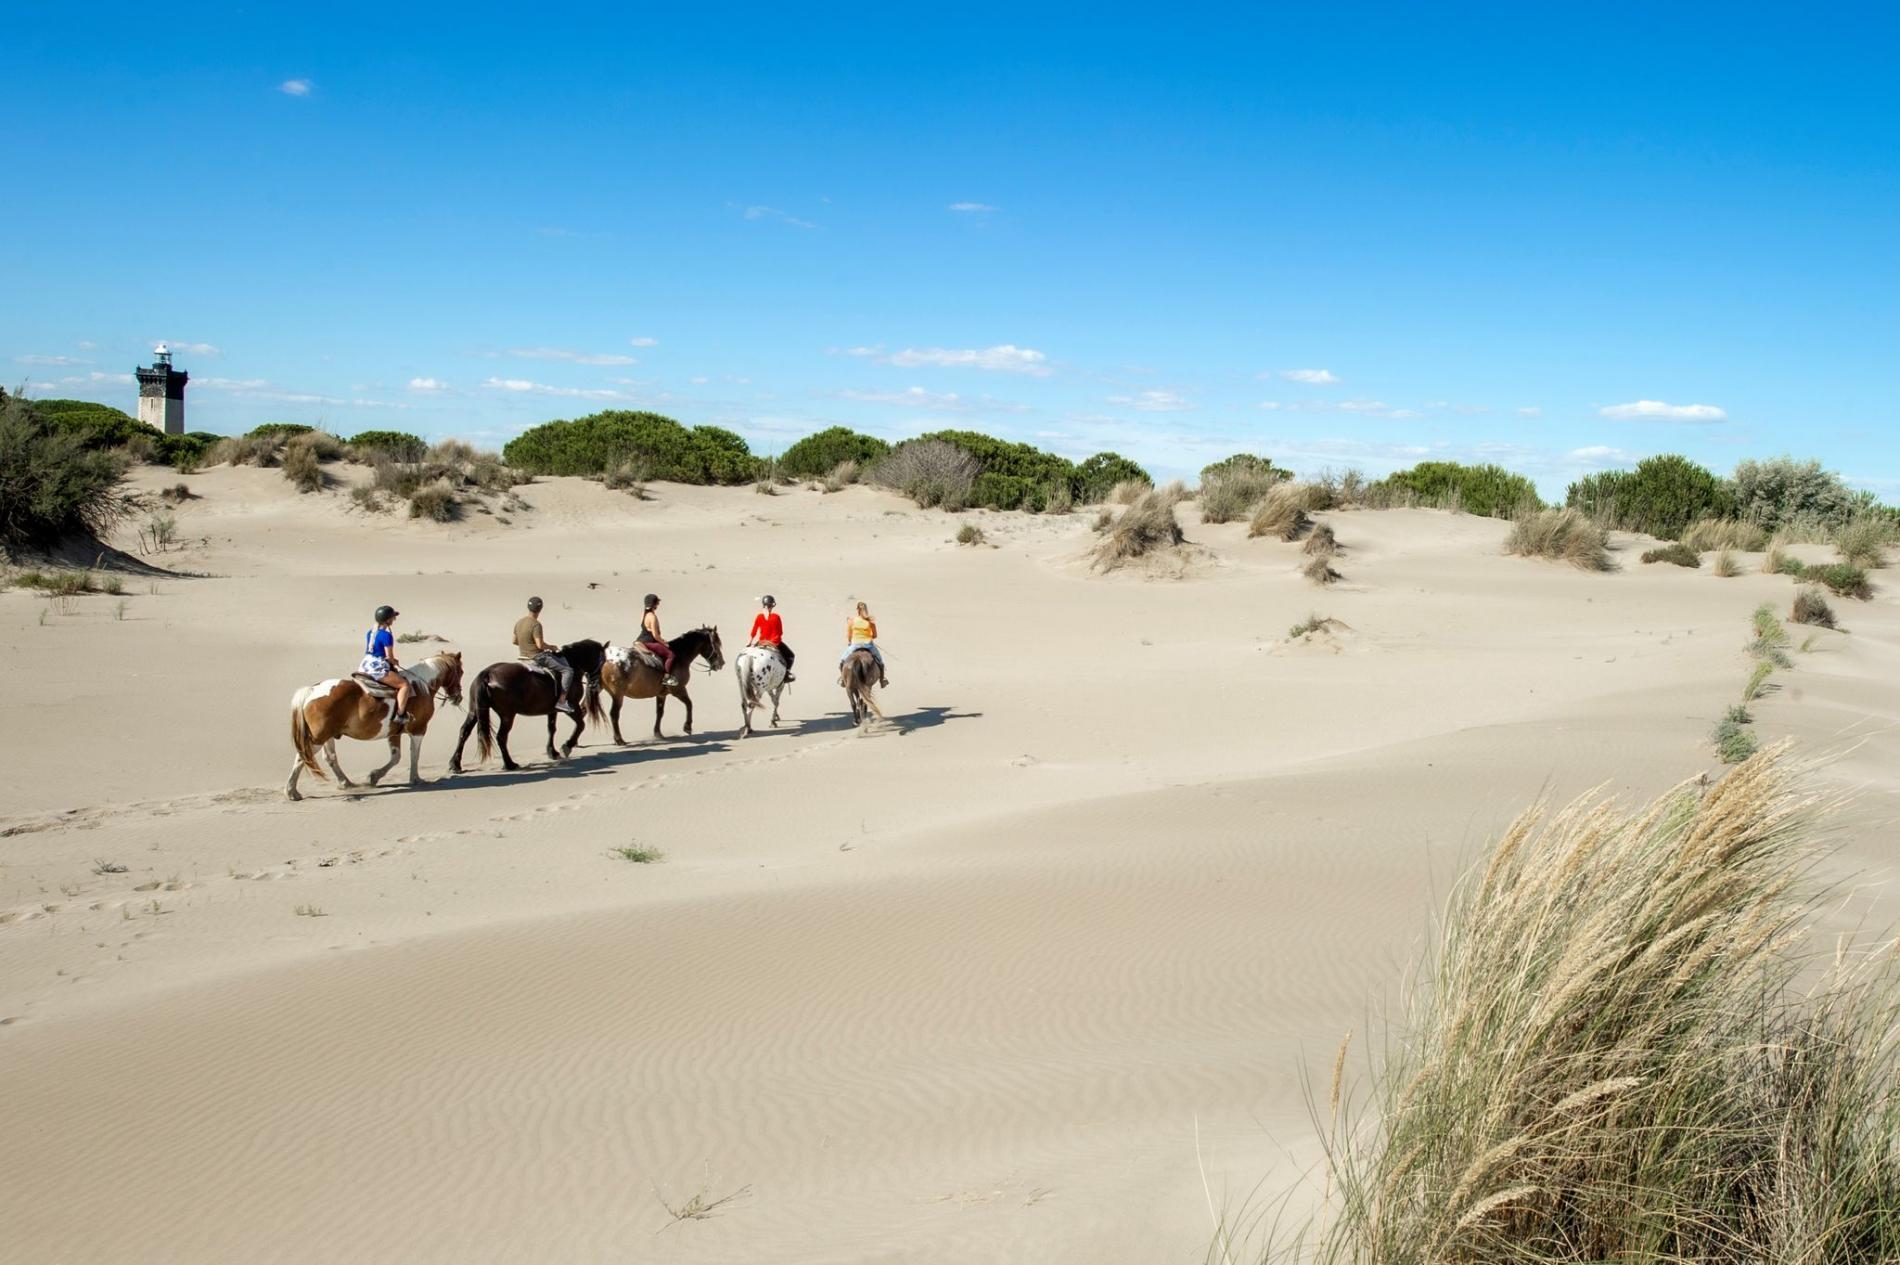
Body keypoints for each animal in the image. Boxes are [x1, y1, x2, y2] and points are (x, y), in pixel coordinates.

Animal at [286, 649, 469, 797]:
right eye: (460, 672)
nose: (458, 697)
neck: (421, 687)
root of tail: (312, 690)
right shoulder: (419, 730)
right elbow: (414, 754)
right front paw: (416, 779)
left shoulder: (394, 733)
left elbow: (396, 757)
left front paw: (373, 777)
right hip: (318, 738)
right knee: (302, 757)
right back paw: (292, 791)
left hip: (328, 736)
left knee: (330, 758)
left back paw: (346, 783)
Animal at [442, 634, 600, 774]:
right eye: (602, 659)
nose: (595, 685)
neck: (572, 664)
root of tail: (487, 674)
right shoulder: (572, 706)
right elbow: (580, 725)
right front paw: (567, 746)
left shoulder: (552, 710)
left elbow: (551, 729)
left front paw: (552, 752)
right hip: (507, 715)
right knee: (501, 737)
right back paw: (509, 764)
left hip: (475, 711)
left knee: (464, 732)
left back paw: (455, 765)